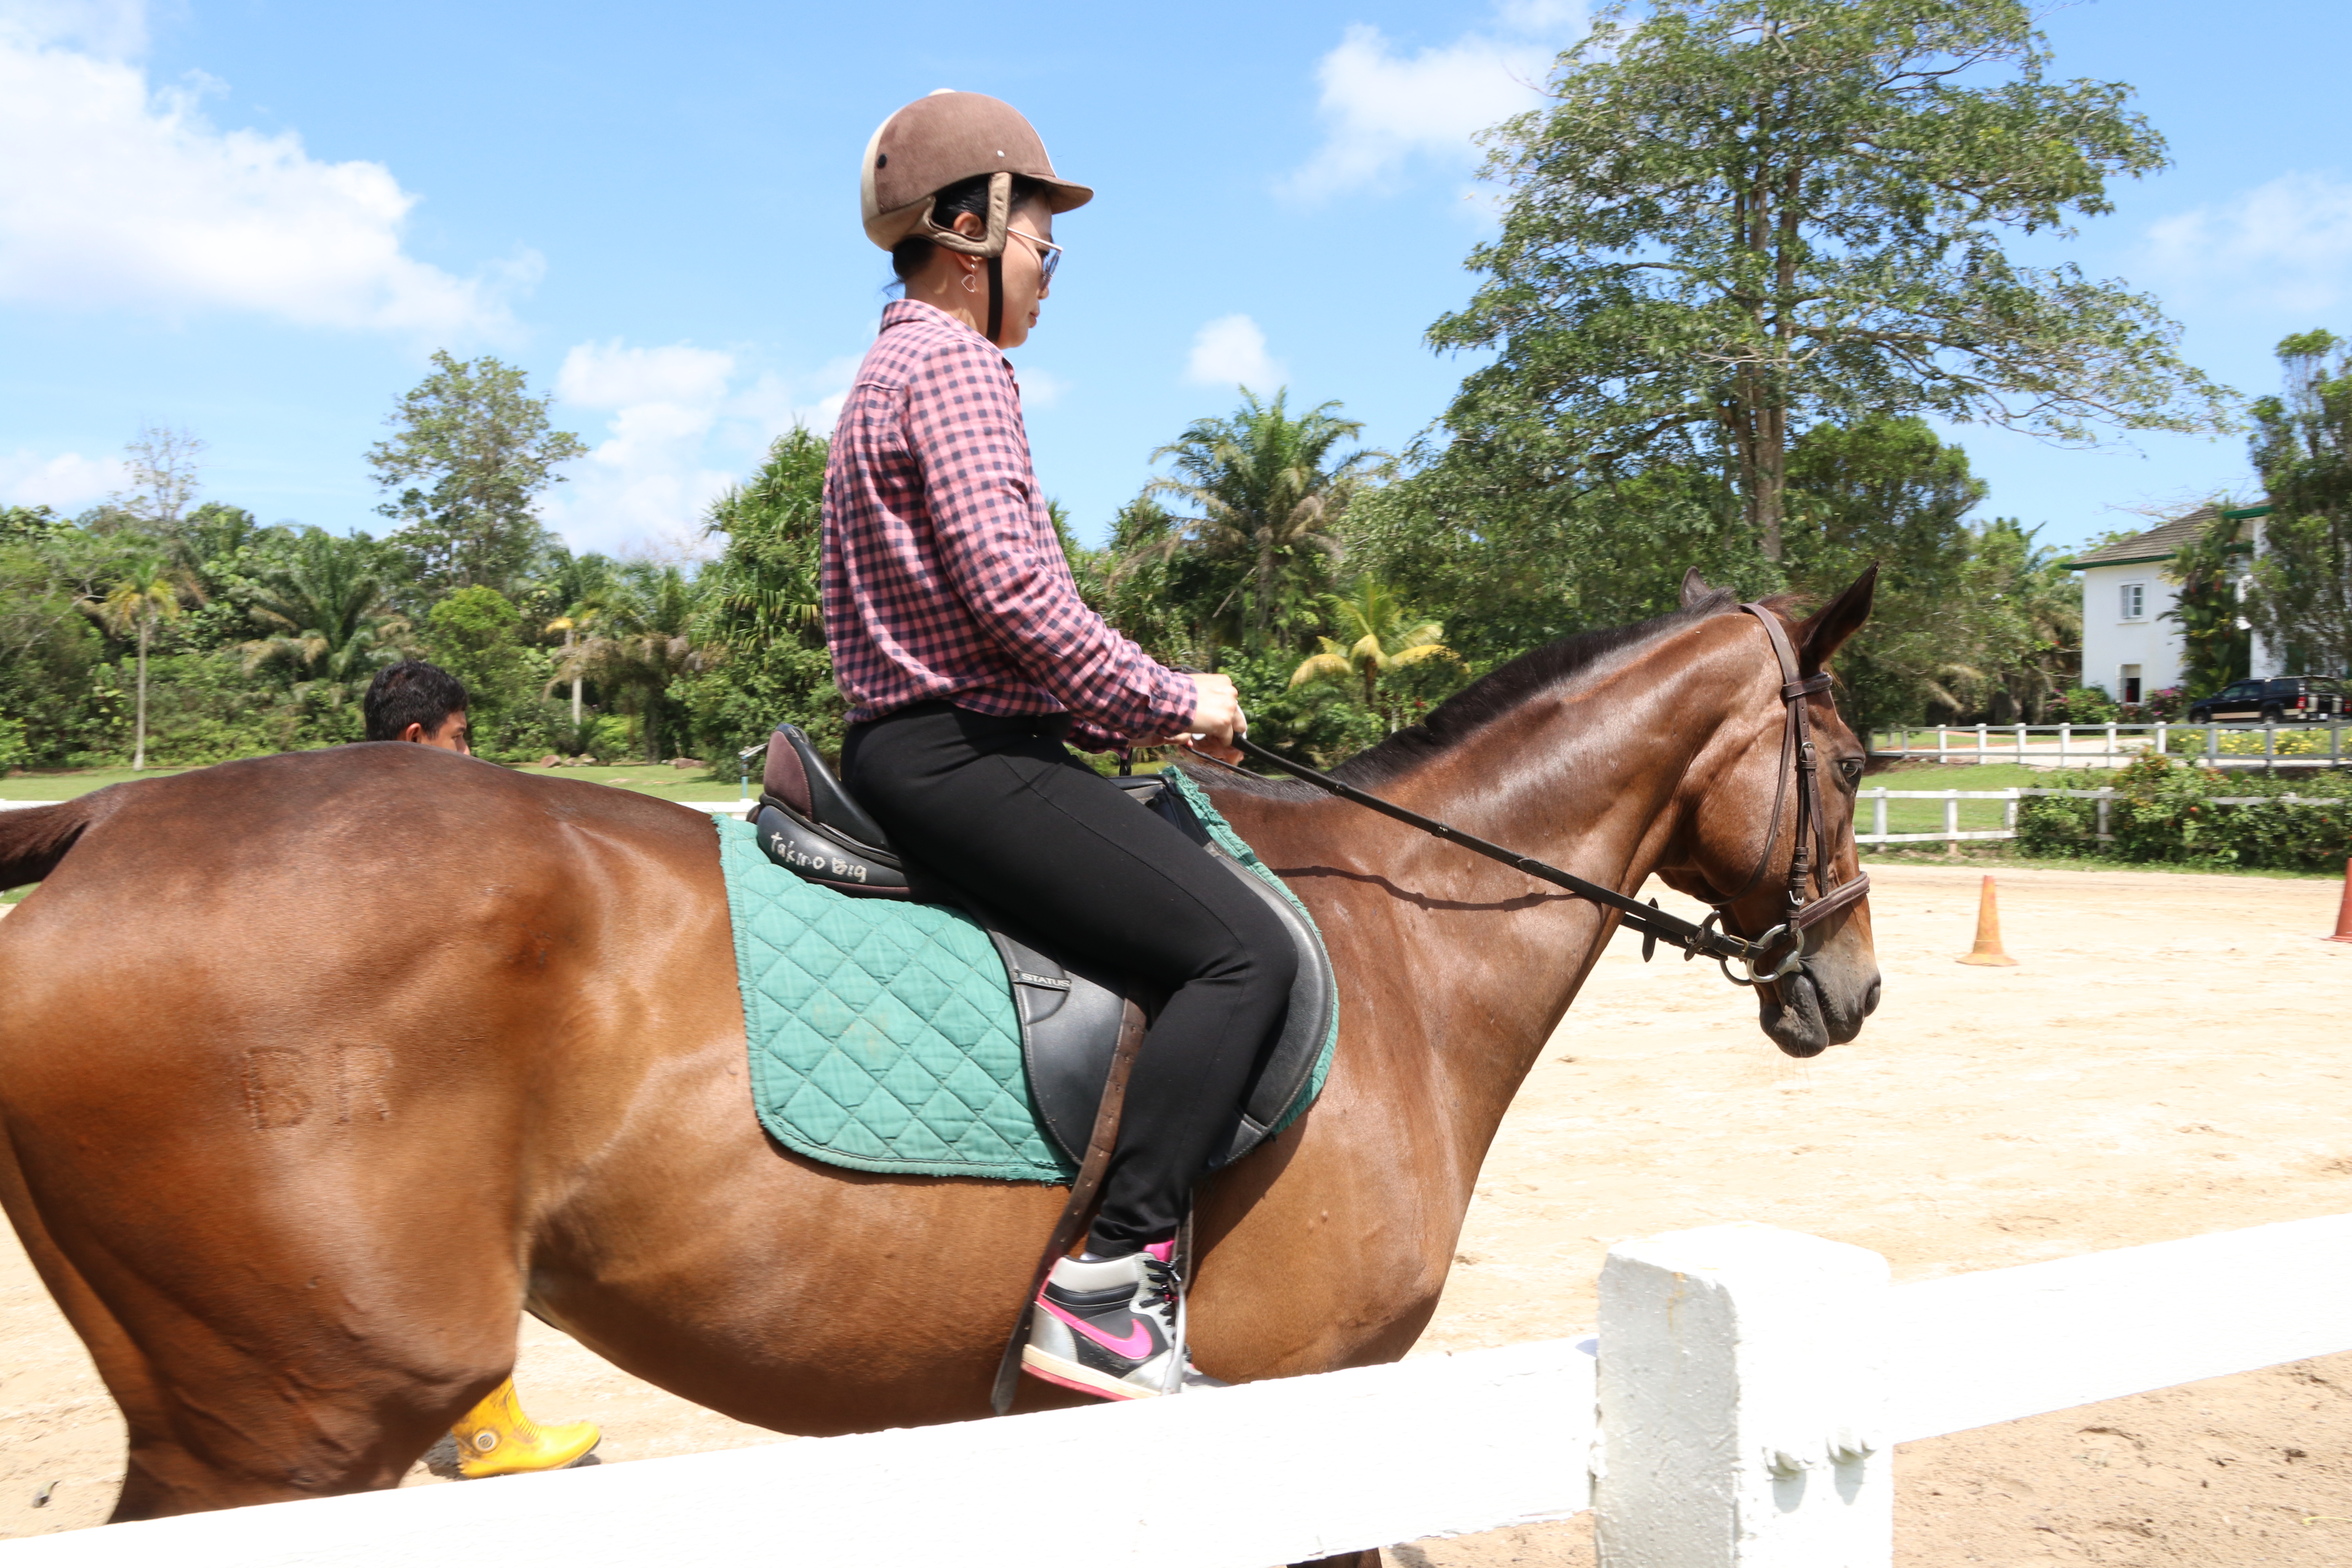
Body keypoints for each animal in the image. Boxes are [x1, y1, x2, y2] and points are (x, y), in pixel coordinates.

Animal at [0, 571, 1880, 1566]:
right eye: (1853, 761)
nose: (1848, 986)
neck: (1401, 940)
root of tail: (112, 819)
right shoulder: (1306, 1409)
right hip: (299, 1419)